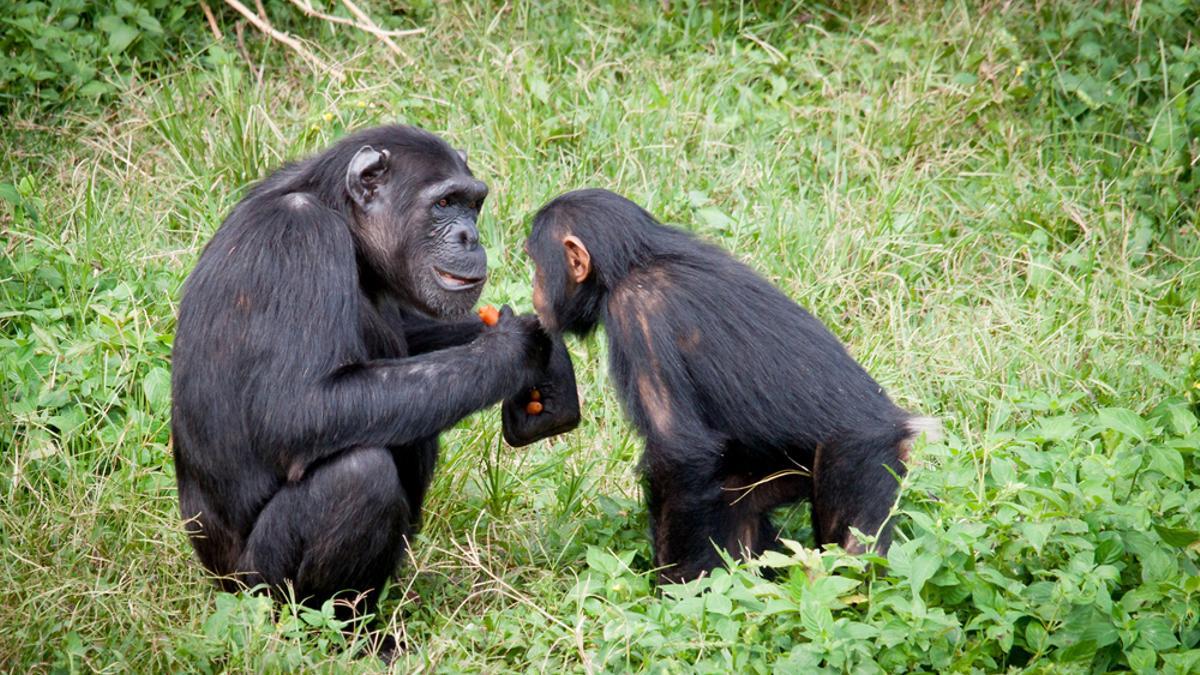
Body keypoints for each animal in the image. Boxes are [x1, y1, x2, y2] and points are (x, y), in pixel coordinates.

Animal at [172, 123, 556, 612]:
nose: (470, 237)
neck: (344, 222)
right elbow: (295, 409)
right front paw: (513, 349)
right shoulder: (300, 240)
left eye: (473, 204)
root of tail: (218, 583)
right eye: (444, 204)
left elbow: (409, 334)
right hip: (257, 586)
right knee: (358, 476)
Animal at [525, 187, 936, 578]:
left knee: (852, 546)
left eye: (537, 263)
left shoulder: (638, 317)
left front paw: (677, 585)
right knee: (736, 498)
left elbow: (677, 451)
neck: (629, 265)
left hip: (862, 458)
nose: (534, 288)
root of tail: (901, 424)